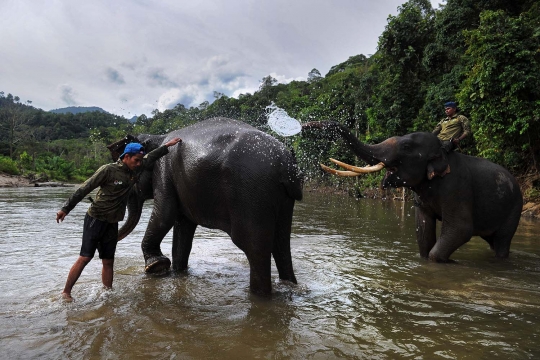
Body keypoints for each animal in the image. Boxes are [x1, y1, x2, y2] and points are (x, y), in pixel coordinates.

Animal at [108, 118, 304, 296]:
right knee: (281, 243)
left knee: (254, 247)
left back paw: (259, 296)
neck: (158, 137)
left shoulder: (163, 170)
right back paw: (289, 286)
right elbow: (183, 227)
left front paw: (157, 266)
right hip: (282, 199)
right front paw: (177, 271)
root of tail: (287, 164)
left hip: (251, 193)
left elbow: (165, 214)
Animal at [302, 121, 520, 262]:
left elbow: (461, 228)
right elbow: (423, 231)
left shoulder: (457, 188)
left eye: (406, 146)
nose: (304, 124)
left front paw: (449, 262)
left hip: (514, 209)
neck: (442, 152)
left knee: (502, 240)